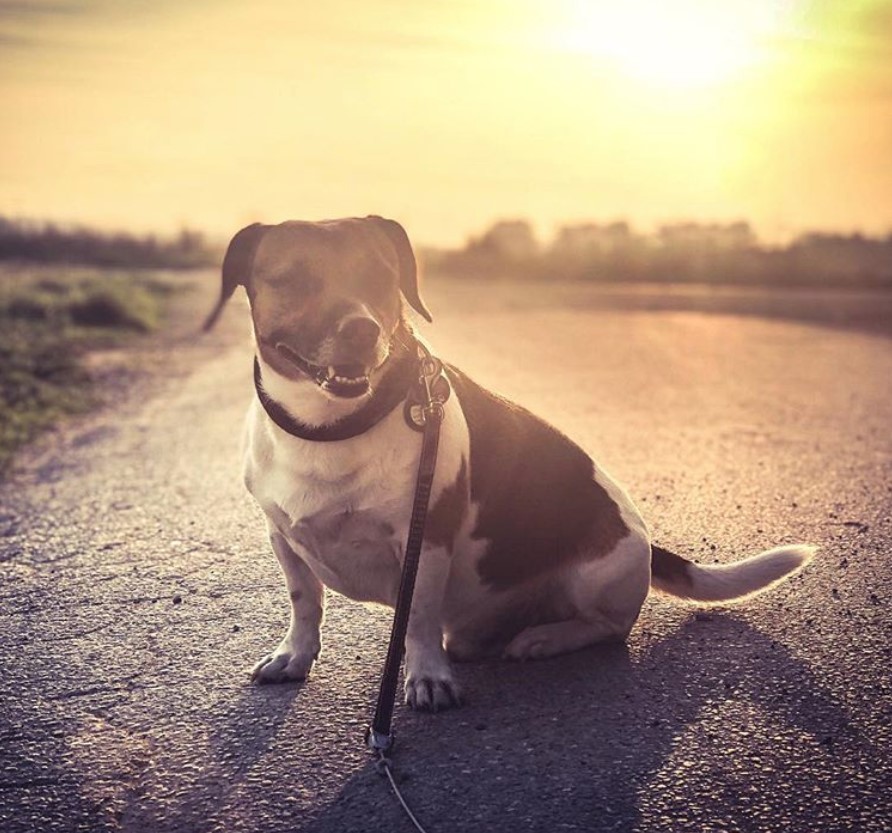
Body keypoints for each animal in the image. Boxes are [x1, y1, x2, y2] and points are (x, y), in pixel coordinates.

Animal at [204, 213, 816, 708]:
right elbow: (305, 602)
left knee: (609, 625)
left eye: (381, 275)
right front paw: (296, 655)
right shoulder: (283, 537)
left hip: (600, 573)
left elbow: (418, 618)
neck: (331, 428)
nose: (361, 330)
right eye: (293, 278)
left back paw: (543, 638)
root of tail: (647, 541)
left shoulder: (427, 539)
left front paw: (426, 678)